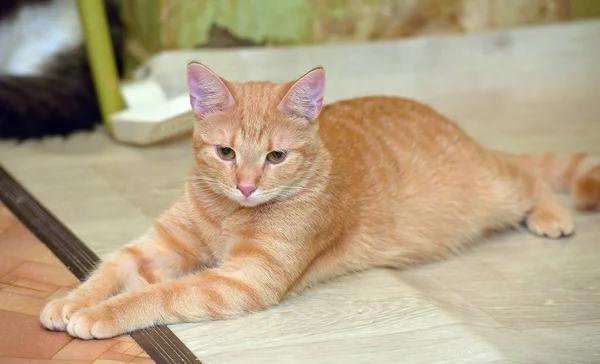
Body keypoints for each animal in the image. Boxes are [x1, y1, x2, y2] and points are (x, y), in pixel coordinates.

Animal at [39, 61, 596, 338]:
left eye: (276, 156)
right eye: (225, 152)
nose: (246, 185)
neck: (229, 212)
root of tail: (457, 129)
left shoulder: (242, 280)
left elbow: (160, 295)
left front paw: (101, 315)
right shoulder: (156, 247)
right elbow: (109, 271)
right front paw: (70, 300)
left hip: (493, 190)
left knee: (530, 175)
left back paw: (551, 214)